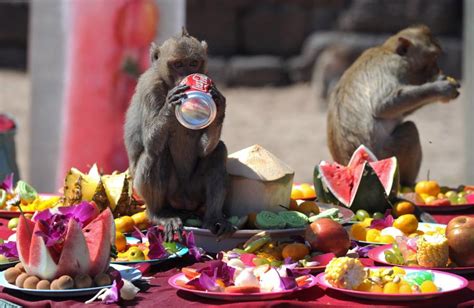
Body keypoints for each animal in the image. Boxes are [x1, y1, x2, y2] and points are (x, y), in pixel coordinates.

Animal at [326, 25, 460, 186]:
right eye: (433, 58)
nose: (437, 69)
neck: (388, 50)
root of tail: (346, 163)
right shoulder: (394, 65)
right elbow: (383, 106)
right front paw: (441, 89)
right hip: (387, 153)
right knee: (410, 130)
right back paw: (408, 182)